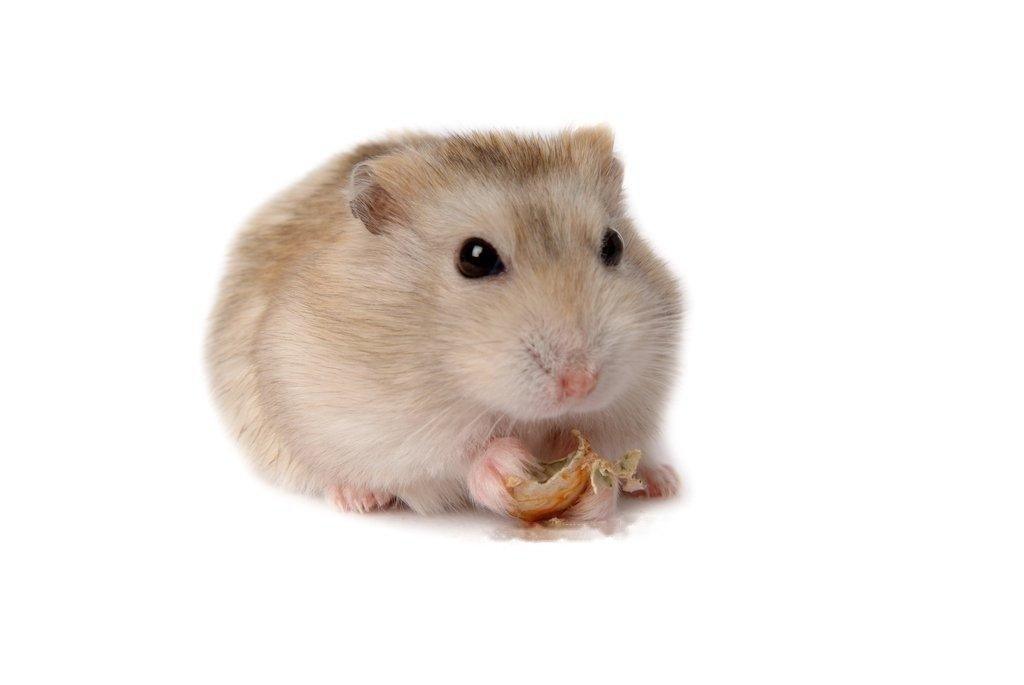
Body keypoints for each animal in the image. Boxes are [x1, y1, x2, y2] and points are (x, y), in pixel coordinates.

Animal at [206, 127, 683, 519]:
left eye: (614, 244)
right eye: (475, 257)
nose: (581, 384)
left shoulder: (635, 394)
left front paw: (598, 484)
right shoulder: (377, 423)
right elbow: (457, 458)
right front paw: (510, 462)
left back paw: (663, 481)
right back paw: (358, 497)